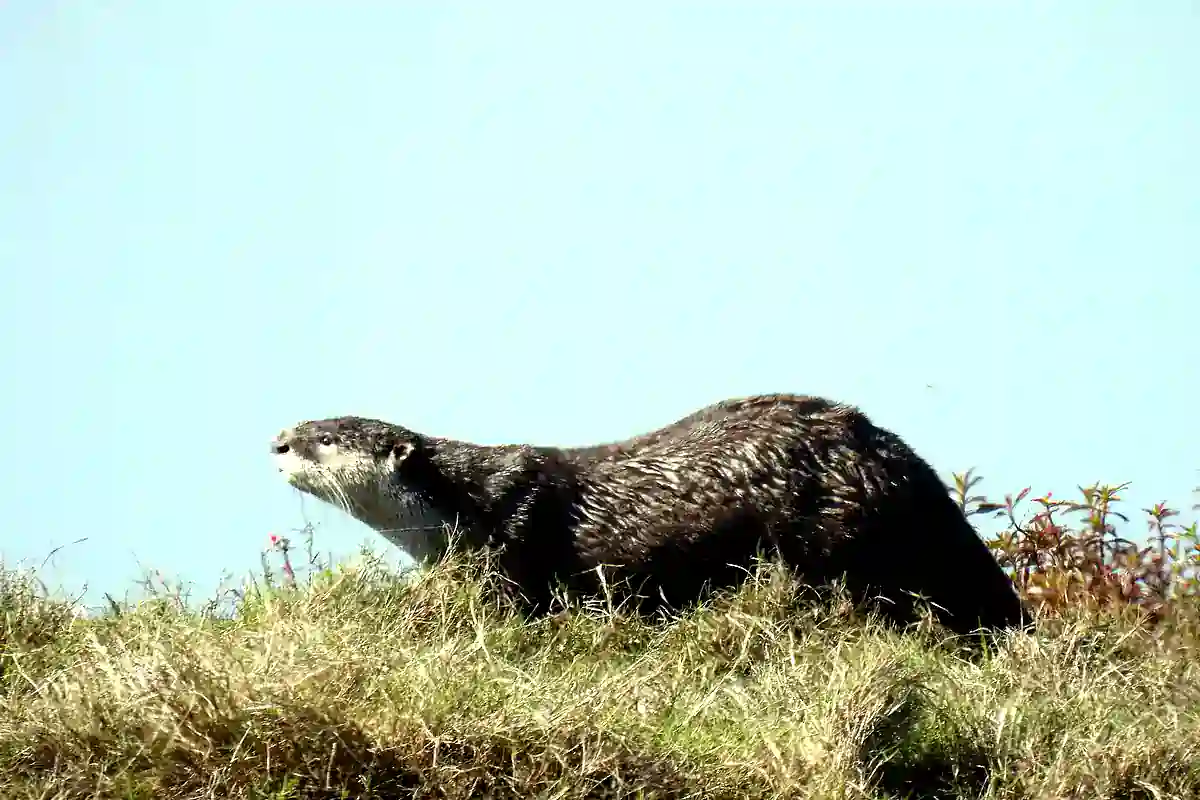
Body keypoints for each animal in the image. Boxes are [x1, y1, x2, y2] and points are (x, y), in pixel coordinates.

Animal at [269, 393, 1029, 636]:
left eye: (327, 437)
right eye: (305, 422)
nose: (278, 441)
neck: (469, 499)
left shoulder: (515, 533)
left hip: (835, 533)